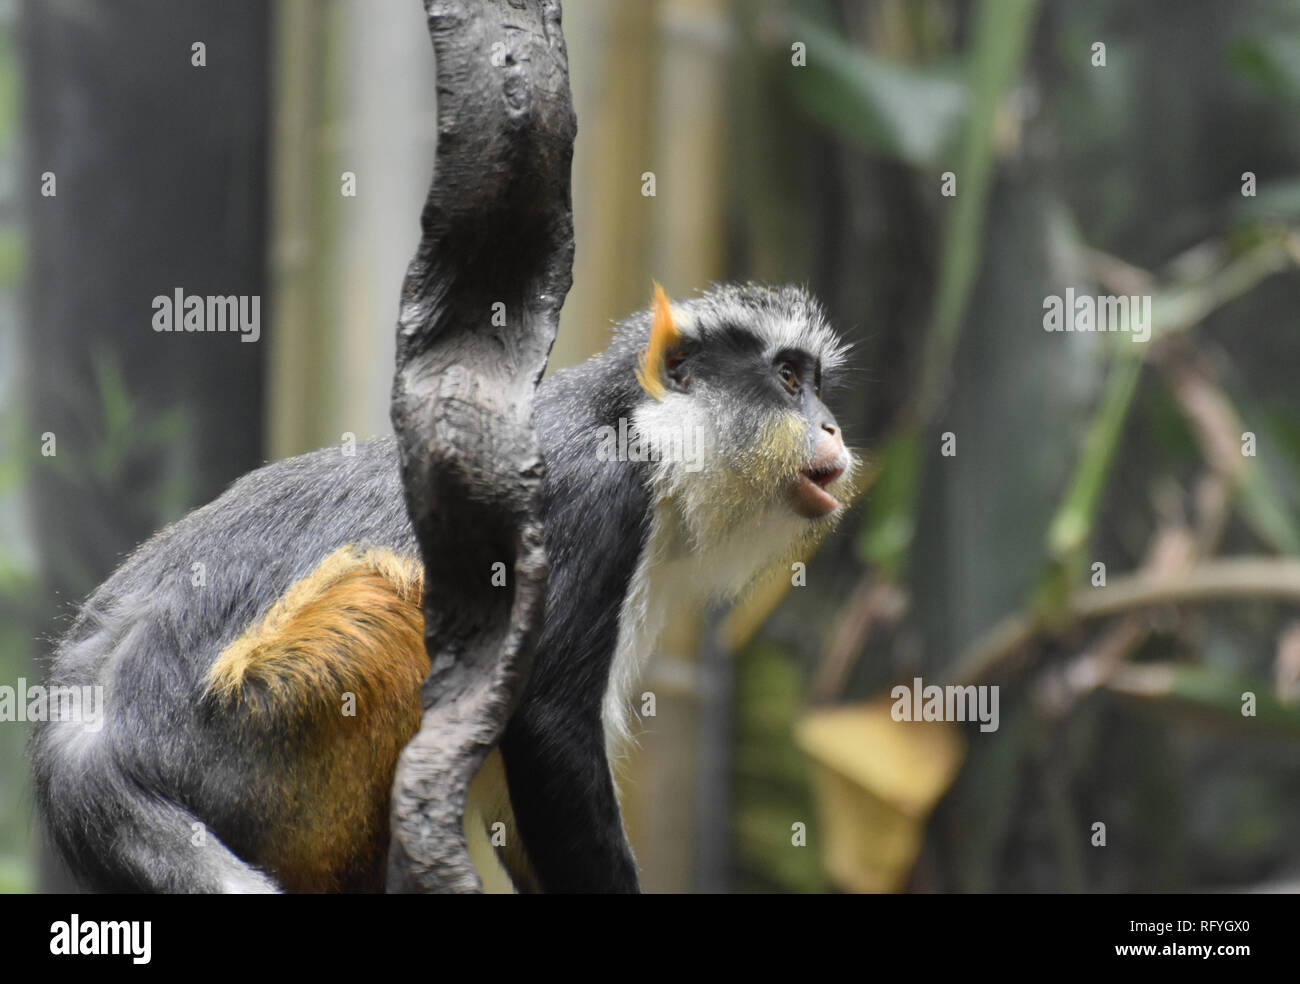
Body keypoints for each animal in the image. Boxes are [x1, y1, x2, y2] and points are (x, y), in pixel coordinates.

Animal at [29, 282, 857, 893]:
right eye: (788, 378)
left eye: (816, 385)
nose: (833, 428)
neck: (641, 426)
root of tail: (90, 740)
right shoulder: (591, 500)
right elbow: (548, 729)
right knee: (385, 602)